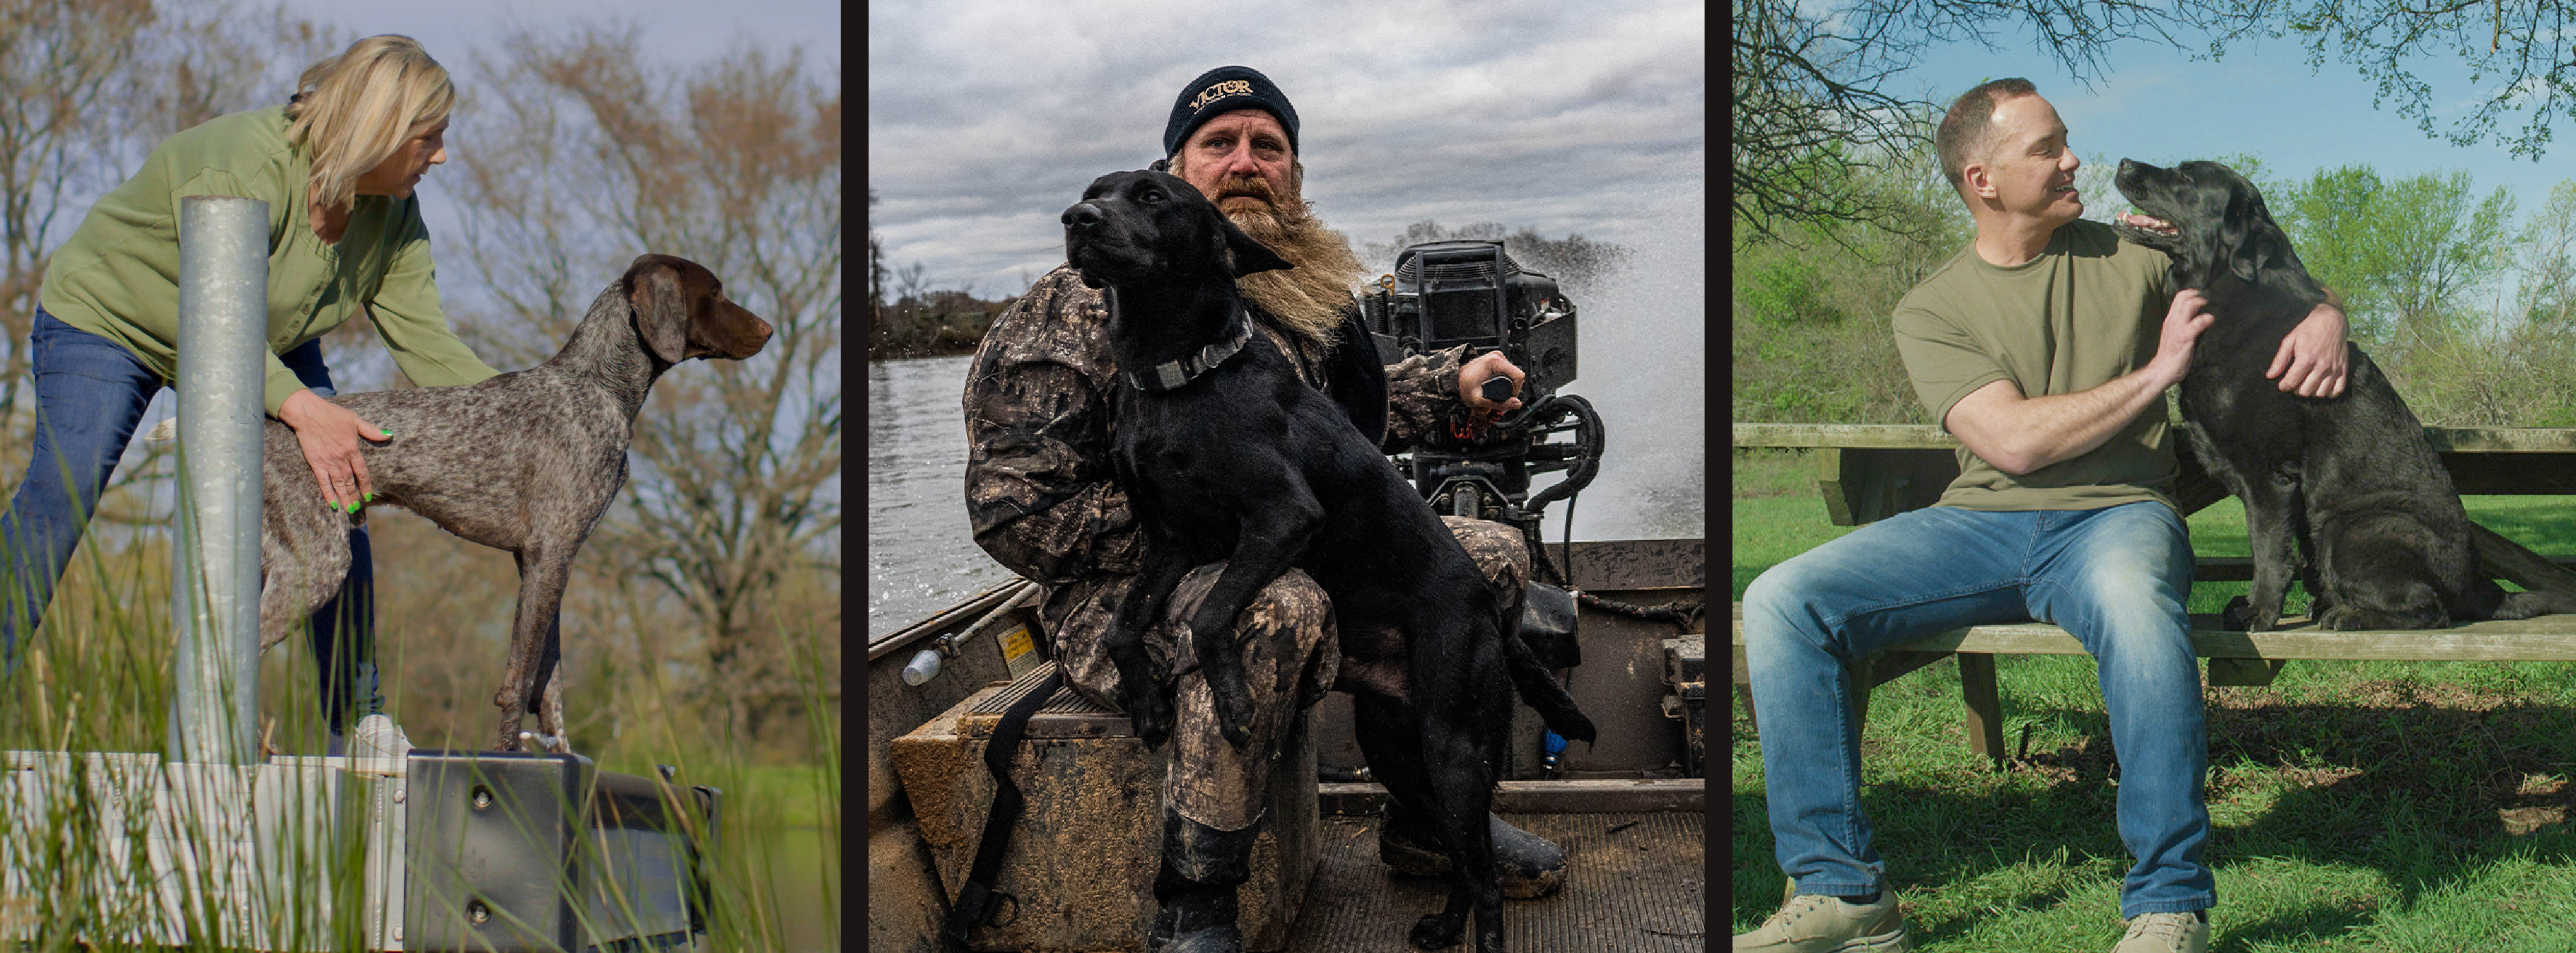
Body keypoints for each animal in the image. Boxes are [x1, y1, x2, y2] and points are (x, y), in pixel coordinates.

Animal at [237, 254, 767, 752]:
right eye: (714, 292)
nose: (768, 329)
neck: (598, 385)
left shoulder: (542, 561)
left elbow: (549, 682)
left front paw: (559, 756)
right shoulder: (550, 554)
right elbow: (521, 680)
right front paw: (506, 758)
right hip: (318, 566)